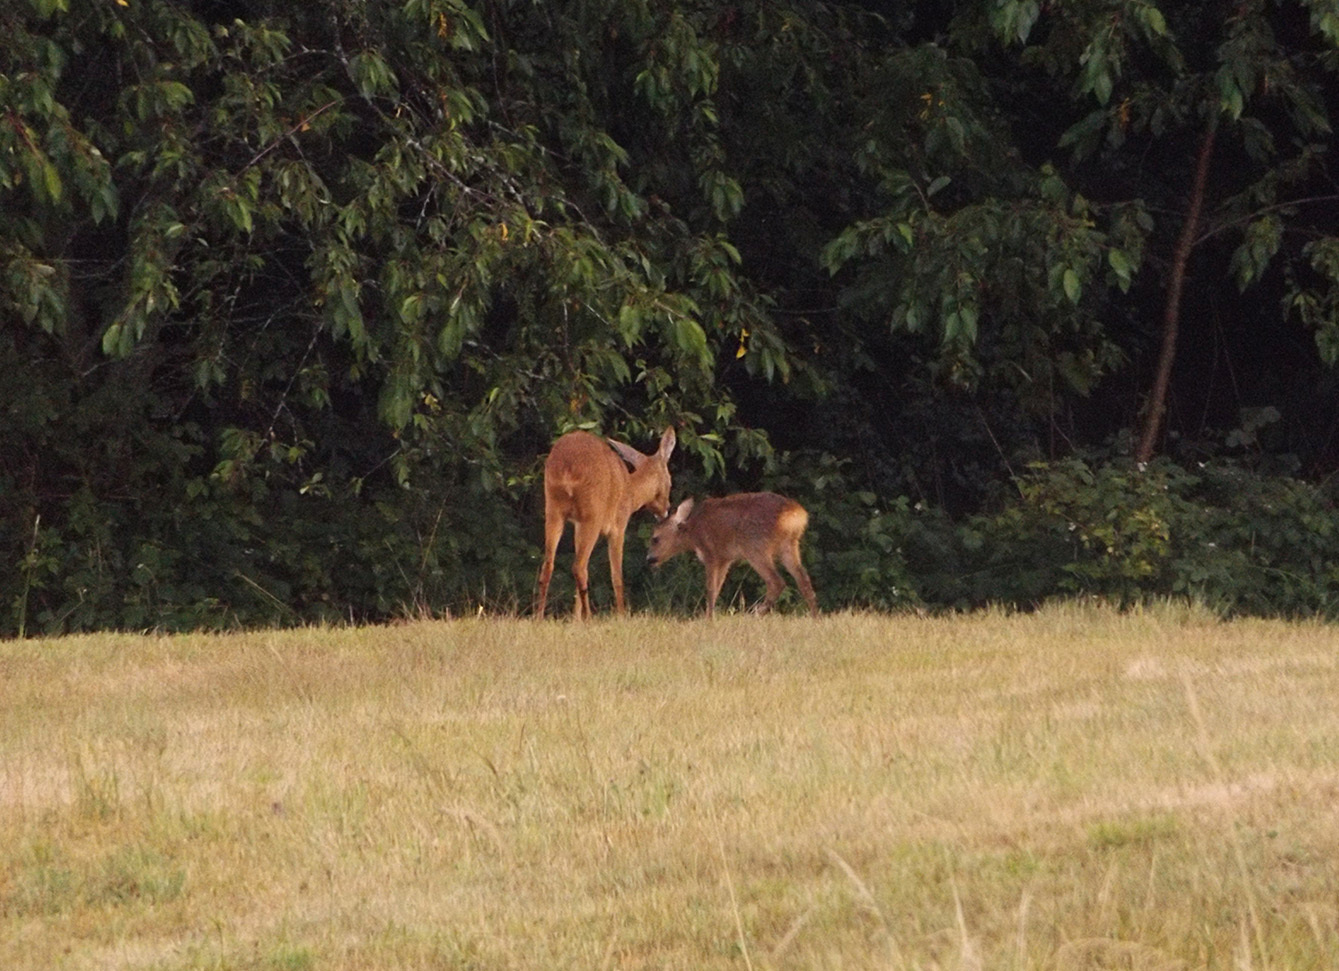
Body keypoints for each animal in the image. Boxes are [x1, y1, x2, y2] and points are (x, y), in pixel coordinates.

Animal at [535, 425, 674, 621]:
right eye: (670, 481)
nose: (666, 509)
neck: (631, 491)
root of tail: (567, 467)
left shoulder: (577, 524)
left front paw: (575, 619)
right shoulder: (618, 526)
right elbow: (617, 575)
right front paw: (622, 615)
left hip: (553, 507)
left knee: (549, 565)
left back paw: (539, 616)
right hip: (593, 513)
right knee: (579, 567)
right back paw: (589, 618)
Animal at [645, 492, 819, 621]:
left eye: (655, 538)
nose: (649, 559)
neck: (694, 533)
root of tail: (796, 516)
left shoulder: (711, 554)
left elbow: (710, 588)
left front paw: (709, 619)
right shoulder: (725, 559)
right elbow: (718, 587)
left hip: (755, 547)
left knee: (776, 581)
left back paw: (755, 614)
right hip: (789, 545)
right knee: (803, 577)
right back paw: (815, 617)